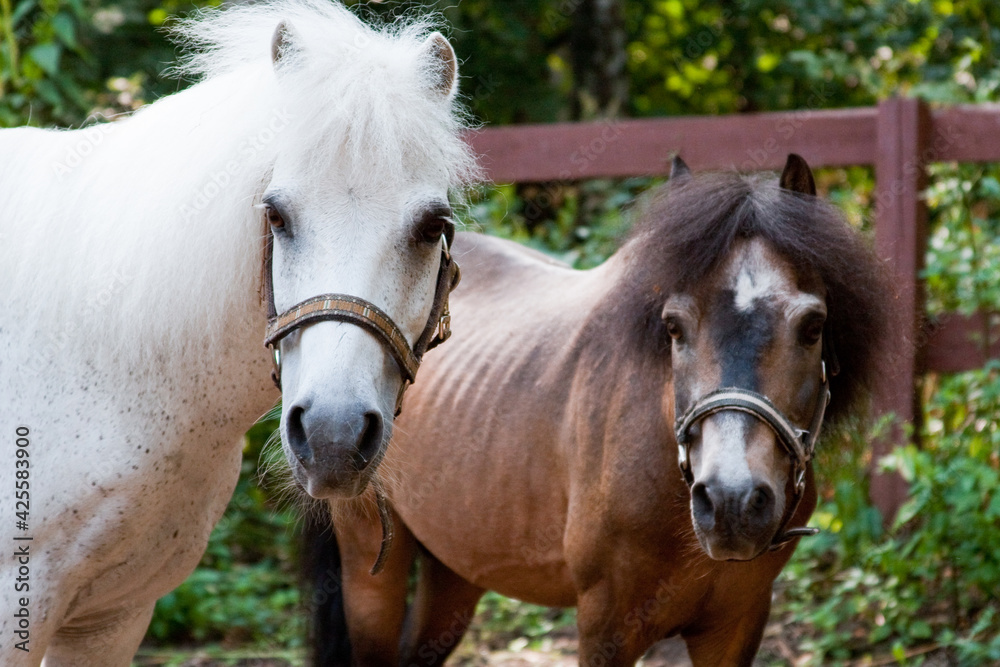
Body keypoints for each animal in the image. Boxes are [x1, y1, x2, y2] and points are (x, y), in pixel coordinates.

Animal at [306, 155, 896, 666]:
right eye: (673, 327)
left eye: (812, 327)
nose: (731, 501)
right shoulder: (606, 627)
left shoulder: (737, 625)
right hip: (371, 562)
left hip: (455, 567)